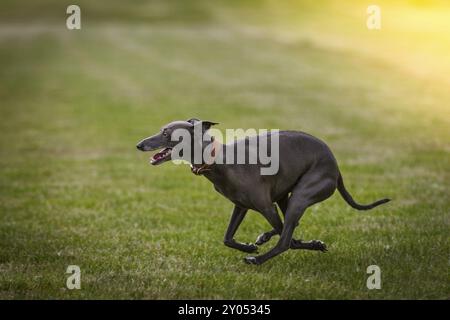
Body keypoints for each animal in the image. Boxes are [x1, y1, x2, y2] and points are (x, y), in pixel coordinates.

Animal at [135, 119, 388, 264]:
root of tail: (336, 167)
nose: (139, 144)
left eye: (166, 133)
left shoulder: (266, 206)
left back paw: (257, 259)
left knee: (285, 239)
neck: (219, 160)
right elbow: (227, 238)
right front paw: (249, 244)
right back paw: (268, 239)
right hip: (287, 196)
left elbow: (289, 238)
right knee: (288, 227)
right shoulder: (241, 206)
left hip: (300, 196)